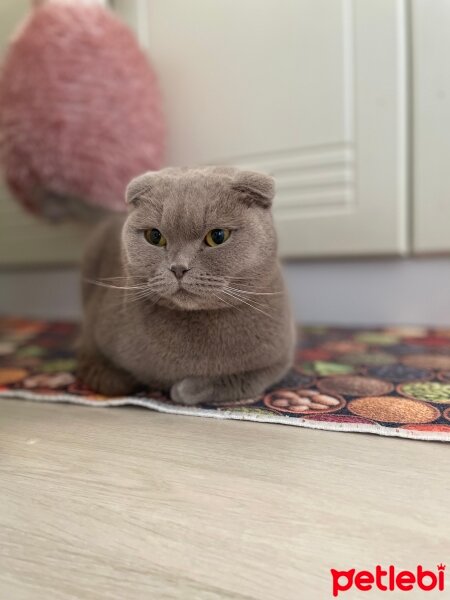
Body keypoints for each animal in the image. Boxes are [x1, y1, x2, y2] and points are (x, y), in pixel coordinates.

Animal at [77, 166, 296, 406]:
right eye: (155, 236)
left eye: (218, 236)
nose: (179, 268)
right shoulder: (92, 332)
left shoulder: (280, 357)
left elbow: (247, 379)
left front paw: (185, 390)